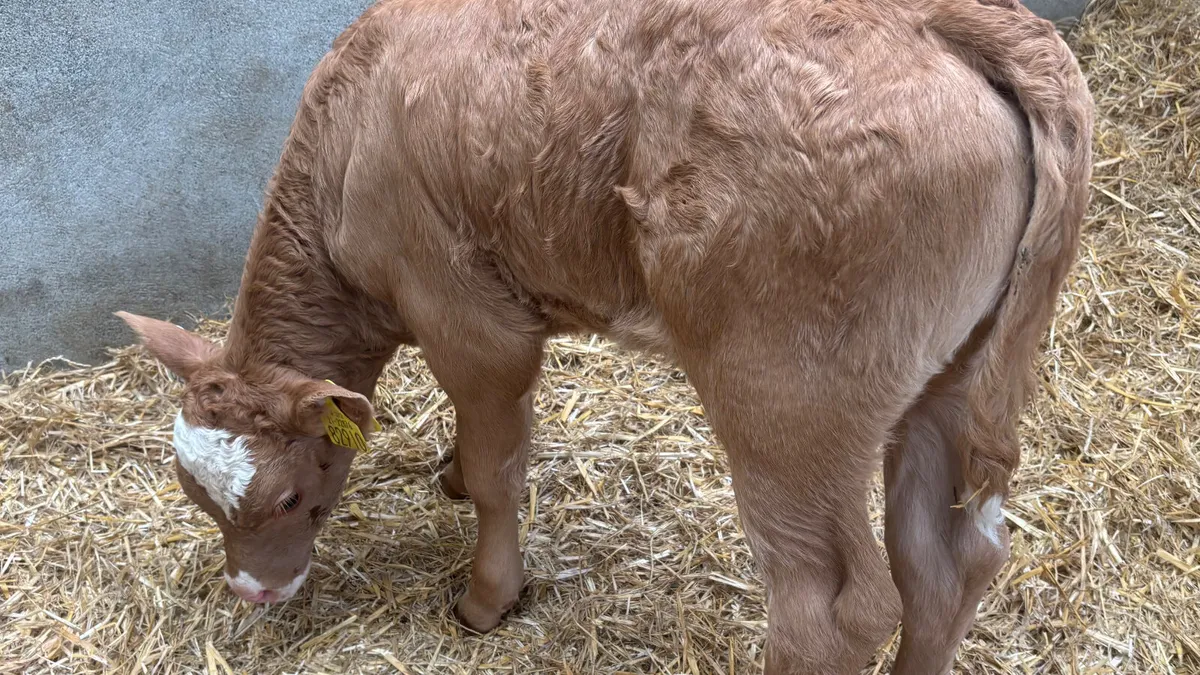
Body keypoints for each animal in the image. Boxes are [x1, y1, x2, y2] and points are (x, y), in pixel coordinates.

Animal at [116, 0, 1092, 671]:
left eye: (287, 498)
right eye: (195, 493)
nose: (254, 587)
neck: (348, 137)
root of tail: (944, 21)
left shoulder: (467, 314)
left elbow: (503, 465)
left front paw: (488, 593)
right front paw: (451, 473)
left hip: (788, 400)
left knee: (830, 609)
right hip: (950, 376)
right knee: (948, 564)